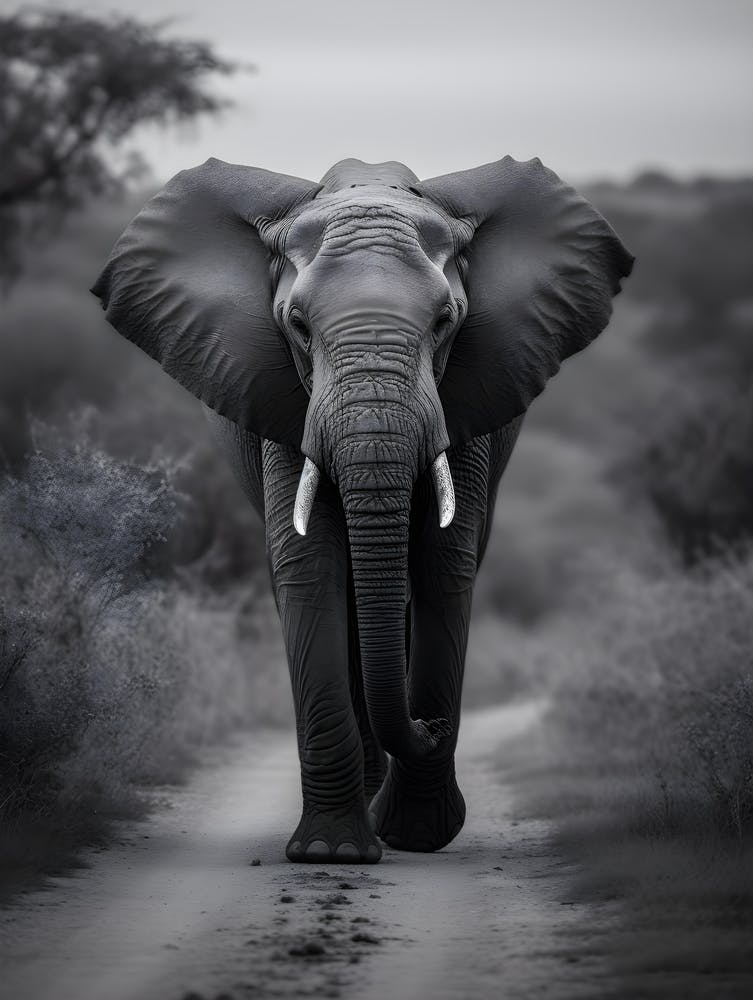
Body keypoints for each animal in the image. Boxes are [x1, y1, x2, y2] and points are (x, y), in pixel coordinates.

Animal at [92, 155, 633, 864]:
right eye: (297, 324)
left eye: (446, 322)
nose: (432, 725)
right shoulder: (282, 398)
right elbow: (309, 566)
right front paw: (332, 853)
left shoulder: (469, 395)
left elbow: (443, 562)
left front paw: (417, 835)